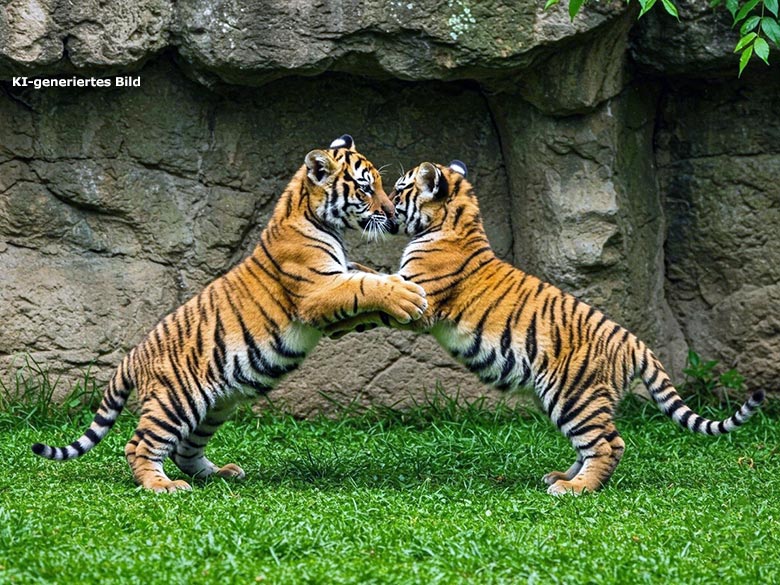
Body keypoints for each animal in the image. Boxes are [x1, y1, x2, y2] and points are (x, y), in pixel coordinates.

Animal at [31, 135, 428, 493]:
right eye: (365, 188)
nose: (392, 215)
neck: (313, 216)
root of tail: (133, 356)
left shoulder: (335, 288)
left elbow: (368, 277)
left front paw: (408, 293)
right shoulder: (317, 291)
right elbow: (363, 285)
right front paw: (407, 296)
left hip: (214, 407)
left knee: (185, 451)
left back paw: (219, 473)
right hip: (175, 402)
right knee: (140, 445)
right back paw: (162, 486)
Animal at [325, 159, 766, 495]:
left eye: (400, 189)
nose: (386, 207)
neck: (457, 223)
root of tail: (634, 342)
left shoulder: (421, 300)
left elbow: (378, 297)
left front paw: (341, 313)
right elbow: (372, 279)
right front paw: (347, 275)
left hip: (573, 395)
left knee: (609, 444)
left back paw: (574, 489)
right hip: (575, 399)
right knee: (594, 445)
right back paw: (560, 476)